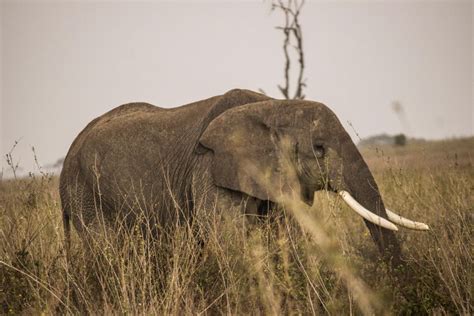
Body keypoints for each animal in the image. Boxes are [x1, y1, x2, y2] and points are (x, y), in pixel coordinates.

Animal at [60, 88, 430, 264]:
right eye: (319, 148)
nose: (396, 277)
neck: (273, 106)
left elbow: (283, 232)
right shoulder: (208, 166)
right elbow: (225, 233)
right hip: (84, 193)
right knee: (107, 250)